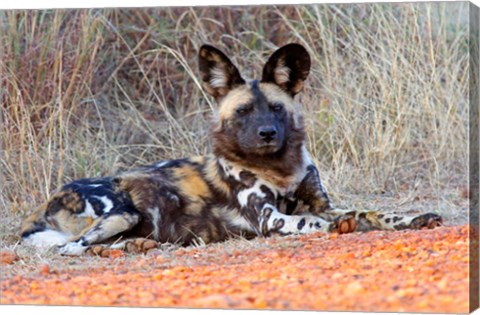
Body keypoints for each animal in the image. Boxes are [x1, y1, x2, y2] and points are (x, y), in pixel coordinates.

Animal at [21, 43, 442, 256]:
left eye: (276, 108)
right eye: (243, 112)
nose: (267, 133)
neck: (280, 168)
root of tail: (42, 205)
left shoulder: (323, 203)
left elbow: (371, 211)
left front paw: (412, 218)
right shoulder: (270, 219)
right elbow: (311, 222)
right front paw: (334, 228)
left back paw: (136, 246)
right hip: (120, 212)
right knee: (72, 247)